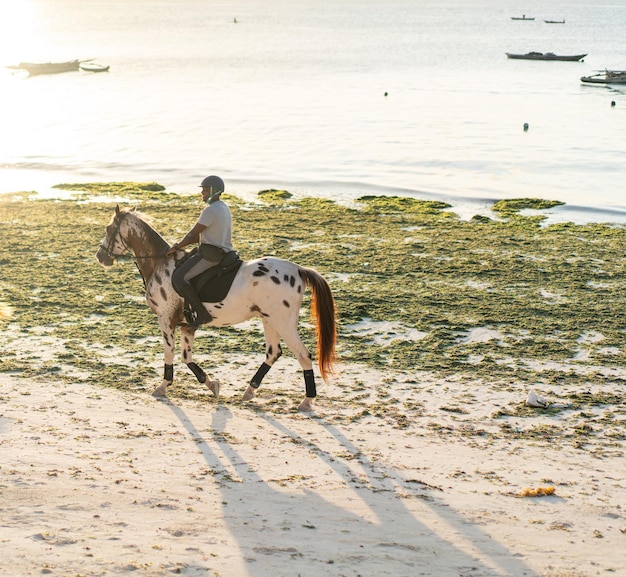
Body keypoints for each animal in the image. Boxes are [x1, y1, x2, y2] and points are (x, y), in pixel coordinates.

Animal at [94, 205, 336, 412]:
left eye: (108, 229)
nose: (100, 256)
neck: (160, 264)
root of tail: (297, 269)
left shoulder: (166, 319)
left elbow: (170, 353)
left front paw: (163, 386)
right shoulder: (187, 326)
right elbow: (187, 357)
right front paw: (211, 384)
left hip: (283, 322)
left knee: (303, 355)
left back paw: (307, 401)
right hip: (269, 319)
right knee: (273, 353)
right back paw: (249, 391)